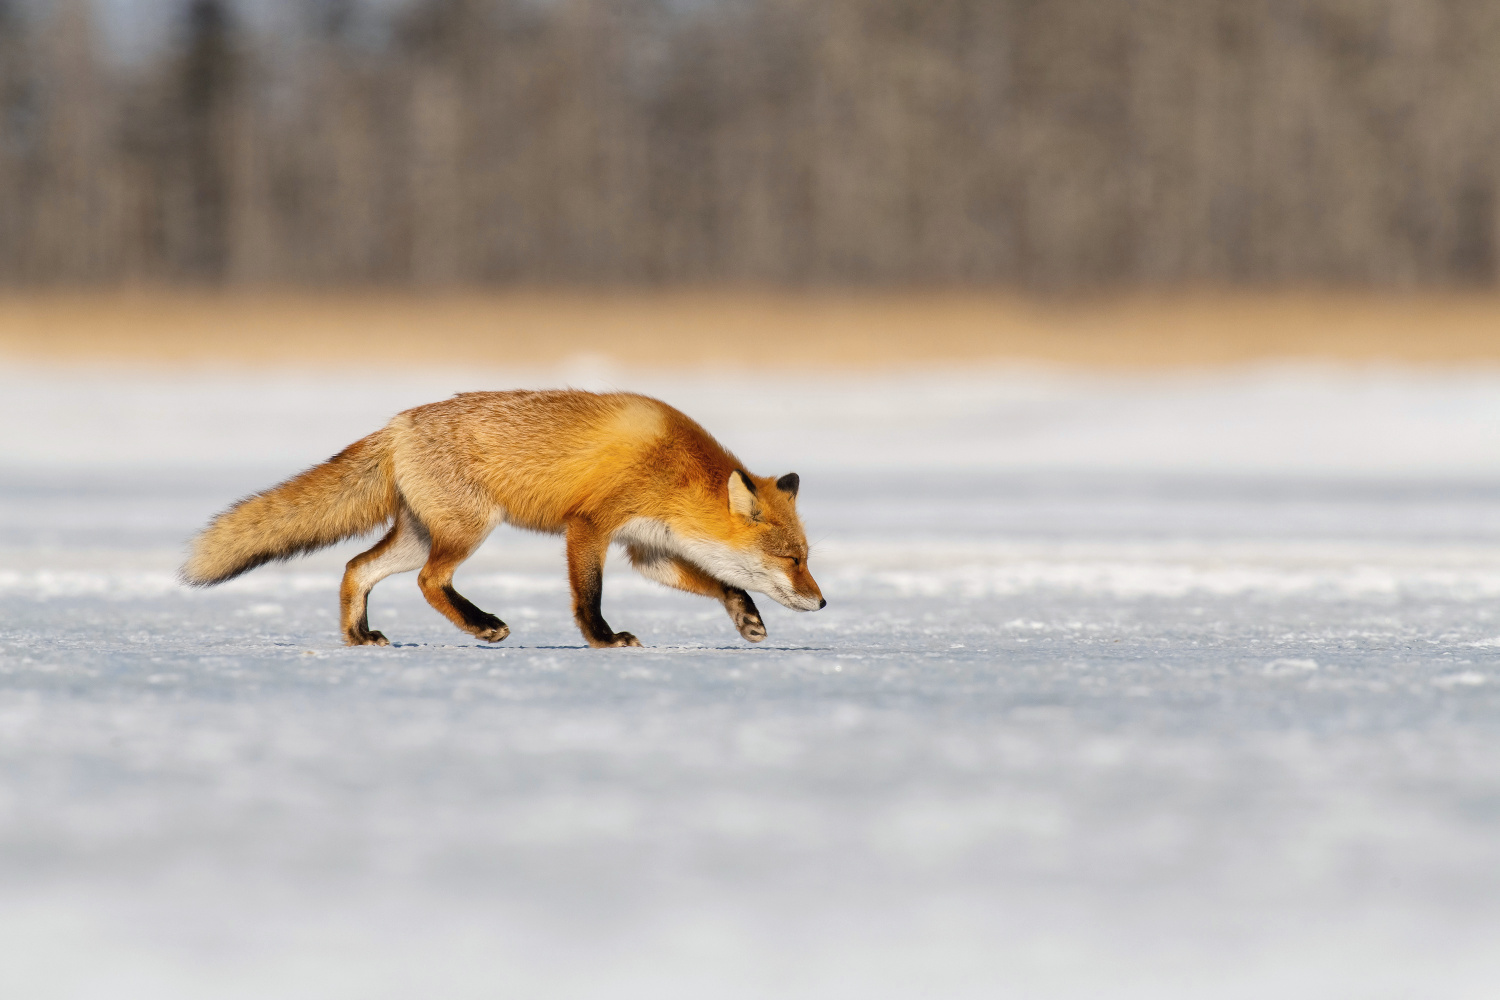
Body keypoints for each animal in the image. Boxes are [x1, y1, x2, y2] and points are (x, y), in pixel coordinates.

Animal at [184, 389, 834, 650]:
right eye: (793, 559)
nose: (824, 602)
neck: (674, 472)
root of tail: (396, 424)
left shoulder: (648, 550)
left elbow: (719, 582)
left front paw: (745, 617)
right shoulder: (589, 526)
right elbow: (588, 596)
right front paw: (603, 640)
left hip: (420, 534)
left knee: (355, 567)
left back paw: (359, 636)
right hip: (468, 529)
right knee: (429, 582)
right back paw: (482, 625)